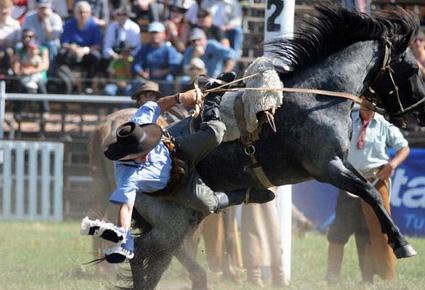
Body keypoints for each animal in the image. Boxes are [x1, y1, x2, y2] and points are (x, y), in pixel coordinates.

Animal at [88, 3, 424, 288]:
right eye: (413, 69)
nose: (419, 109)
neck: (319, 96)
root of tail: (126, 182)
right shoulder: (327, 166)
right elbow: (370, 192)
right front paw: (402, 244)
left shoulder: (340, 162)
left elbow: (367, 189)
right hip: (172, 222)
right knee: (144, 252)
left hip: (184, 219)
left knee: (160, 255)